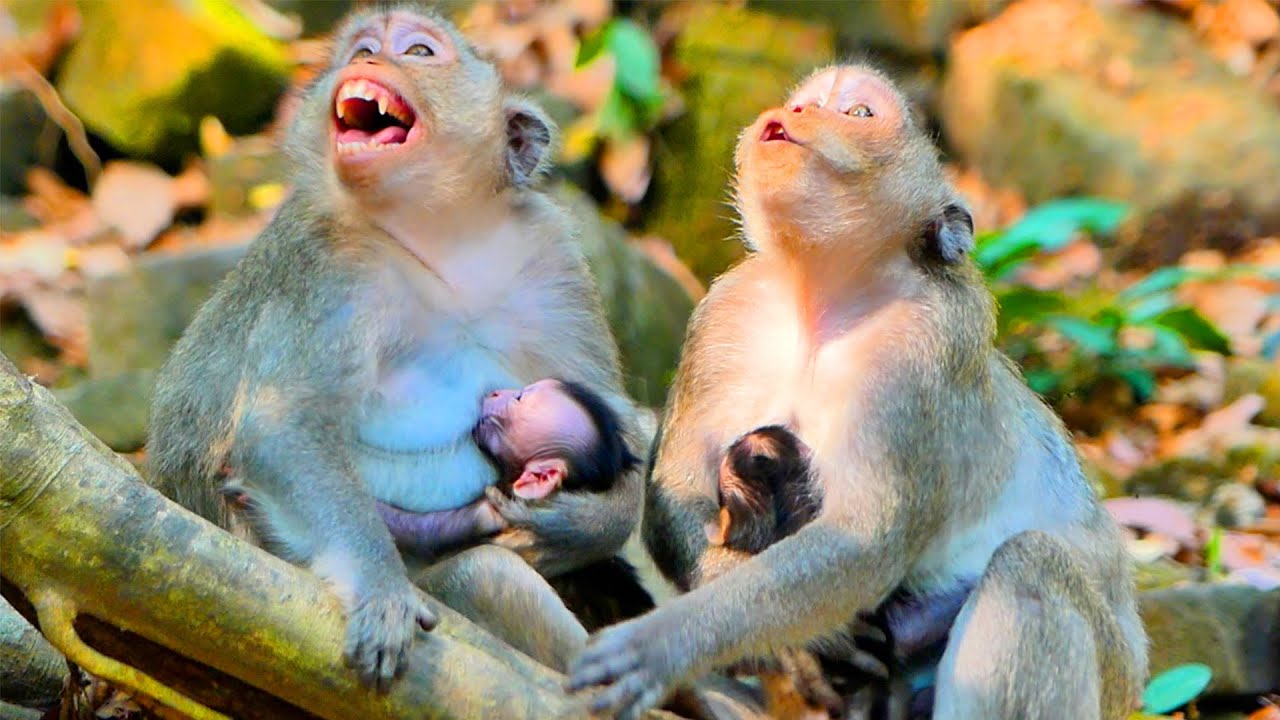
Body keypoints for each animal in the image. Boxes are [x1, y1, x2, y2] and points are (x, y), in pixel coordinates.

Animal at [146, 4, 645, 690]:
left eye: (417, 51)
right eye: (359, 47)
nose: (368, 58)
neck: (435, 239)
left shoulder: (550, 254)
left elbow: (619, 421)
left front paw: (581, 526)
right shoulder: (325, 267)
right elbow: (282, 425)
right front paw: (380, 590)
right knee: (485, 577)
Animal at [567, 64, 1148, 720]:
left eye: (859, 114)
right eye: (807, 101)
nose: (794, 112)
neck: (824, 297)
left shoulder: (923, 352)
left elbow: (865, 540)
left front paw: (665, 641)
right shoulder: (726, 316)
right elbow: (675, 494)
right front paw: (803, 644)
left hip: (1112, 675)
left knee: (1032, 566)